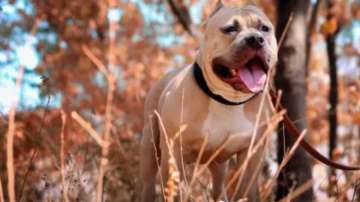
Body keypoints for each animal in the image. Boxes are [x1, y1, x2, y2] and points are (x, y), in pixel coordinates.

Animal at [141, 1, 278, 200]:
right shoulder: (173, 152)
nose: (255, 39)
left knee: (218, 189)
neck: (227, 100)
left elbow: (247, 191)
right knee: (148, 181)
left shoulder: (252, 155)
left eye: (264, 29)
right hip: (150, 149)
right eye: (230, 29)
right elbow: (175, 192)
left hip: (219, 167)